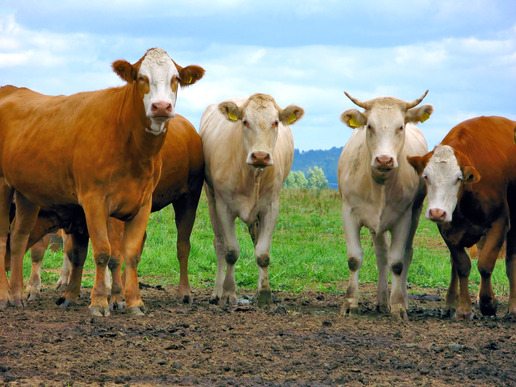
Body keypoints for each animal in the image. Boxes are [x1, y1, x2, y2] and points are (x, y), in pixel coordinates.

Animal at [0, 47, 206, 316]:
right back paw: (6, 295)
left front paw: (132, 301)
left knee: (18, 237)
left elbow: (129, 253)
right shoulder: (93, 202)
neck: (128, 141)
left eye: (176, 79)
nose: (161, 106)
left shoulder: (142, 203)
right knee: (5, 237)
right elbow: (102, 252)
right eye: (141, 77)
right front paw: (99, 301)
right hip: (5, 187)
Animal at [201, 93, 306, 306]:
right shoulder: (224, 207)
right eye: (245, 121)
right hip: (211, 198)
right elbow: (231, 251)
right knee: (219, 243)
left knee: (255, 240)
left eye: (275, 122)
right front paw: (228, 293)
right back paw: (217, 291)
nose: (260, 155)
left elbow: (262, 253)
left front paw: (264, 293)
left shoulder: (271, 207)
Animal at [338, 91, 432, 322]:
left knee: (406, 253)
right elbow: (354, 259)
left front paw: (398, 306)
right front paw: (350, 303)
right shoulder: (349, 212)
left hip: (414, 214)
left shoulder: (404, 217)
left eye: (401, 126)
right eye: (370, 126)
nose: (384, 159)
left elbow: (397, 261)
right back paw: (381, 301)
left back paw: (400, 300)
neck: (379, 182)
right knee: (382, 255)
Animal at [408, 116, 516, 320]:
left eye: (458, 179)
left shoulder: (499, 223)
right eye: (426, 176)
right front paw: (464, 308)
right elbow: (462, 266)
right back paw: (450, 304)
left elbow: (485, 264)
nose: (437, 212)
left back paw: (512, 307)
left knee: (510, 263)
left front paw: (488, 303)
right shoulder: (447, 230)